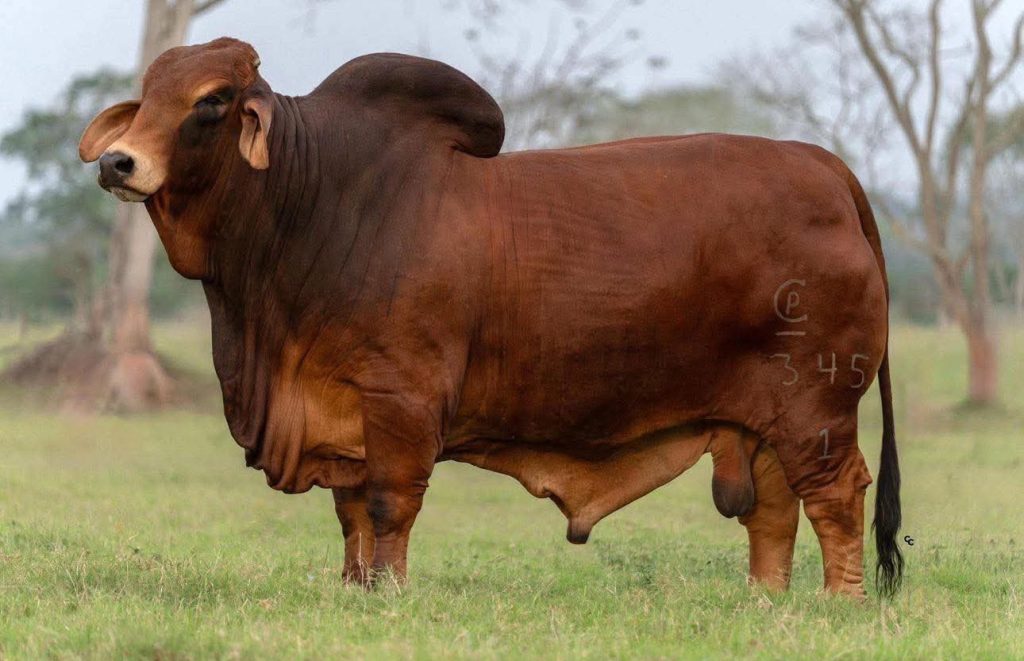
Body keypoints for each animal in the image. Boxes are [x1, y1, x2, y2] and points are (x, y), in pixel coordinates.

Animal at [80, 37, 902, 598]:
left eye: (211, 101)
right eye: (147, 95)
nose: (118, 162)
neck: (312, 203)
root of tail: (824, 167)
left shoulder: (401, 399)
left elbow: (389, 504)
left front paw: (390, 591)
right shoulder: (343, 411)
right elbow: (350, 511)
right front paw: (354, 587)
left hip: (818, 405)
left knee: (836, 493)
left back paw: (841, 601)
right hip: (766, 418)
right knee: (774, 508)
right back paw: (766, 600)